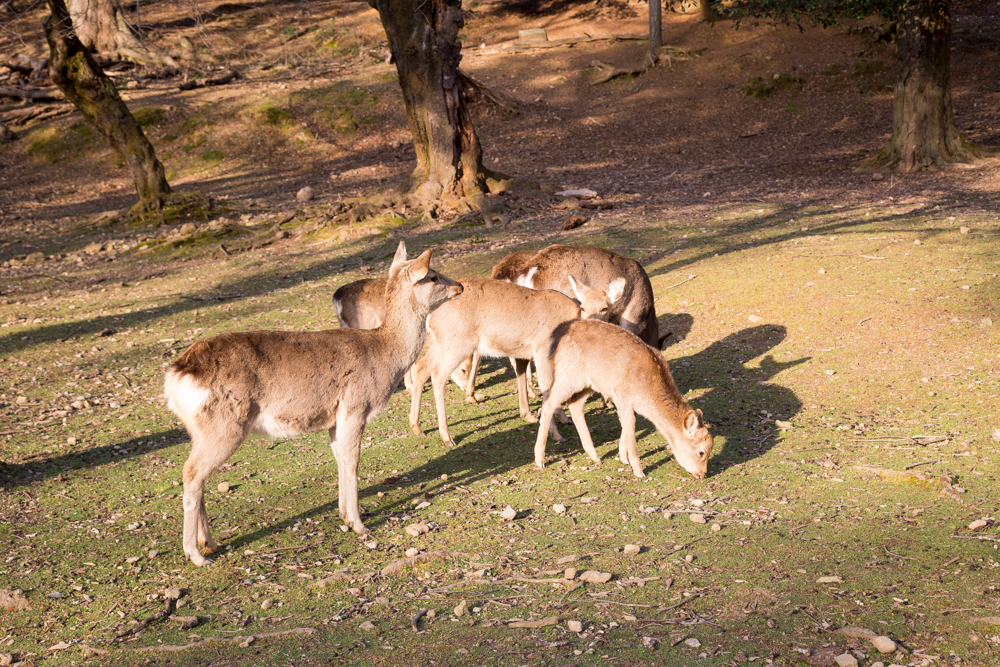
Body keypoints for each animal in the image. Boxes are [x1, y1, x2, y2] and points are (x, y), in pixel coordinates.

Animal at [164, 250, 460, 568]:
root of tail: (176, 375)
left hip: (200, 430)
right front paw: (359, 525)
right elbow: (353, 461)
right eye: (432, 276)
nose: (460, 286)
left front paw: (345, 517)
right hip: (225, 426)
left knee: (198, 475)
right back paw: (195, 554)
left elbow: (340, 460)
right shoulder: (354, 406)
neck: (384, 358)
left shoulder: (334, 419)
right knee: (192, 472)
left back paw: (209, 543)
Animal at [410, 276, 620, 448]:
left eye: (605, 307)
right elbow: (547, 387)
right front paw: (556, 434)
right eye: (583, 307)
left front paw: (554, 418)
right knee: (438, 375)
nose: (594, 322)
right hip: (457, 342)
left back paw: (416, 427)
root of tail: (430, 315)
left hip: (439, 343)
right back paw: (447, 437)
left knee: (420, 368)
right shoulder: (541, 349)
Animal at [532, 320, 712, 480]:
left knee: (574, 404)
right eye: (701, 452)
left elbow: (627, 424)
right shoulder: (622, 395)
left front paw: (623, 458)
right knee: (548, 402)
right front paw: (638, 470)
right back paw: (540, 460)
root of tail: (557, 336)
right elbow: (630, 425)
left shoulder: (628, 403)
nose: (703, 474)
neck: (647, 394)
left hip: (589, 384)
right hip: (569, 376)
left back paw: (595, 456)